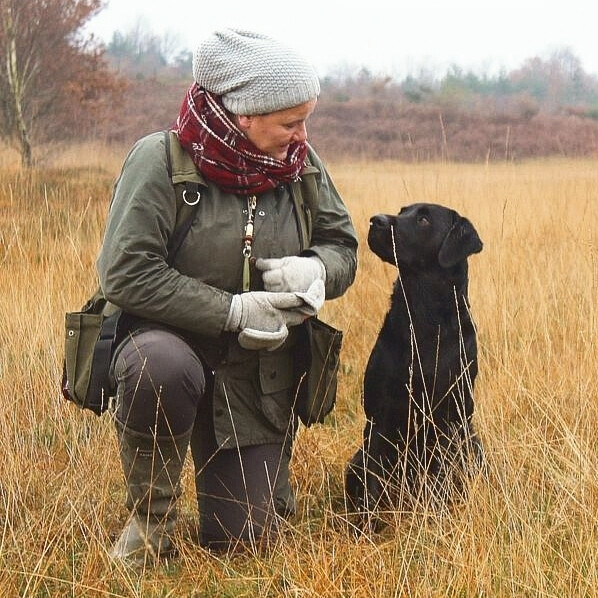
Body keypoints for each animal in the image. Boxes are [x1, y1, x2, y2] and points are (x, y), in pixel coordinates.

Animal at [346, 205, 488, 528]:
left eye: (423, 218)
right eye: (403, 211)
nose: (376, 221)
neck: (423, 322)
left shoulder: (448, 420)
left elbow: (440, 479)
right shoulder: (379, 417)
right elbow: (373, 481)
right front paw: (366, 529)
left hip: (473, 445)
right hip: (355, 461)